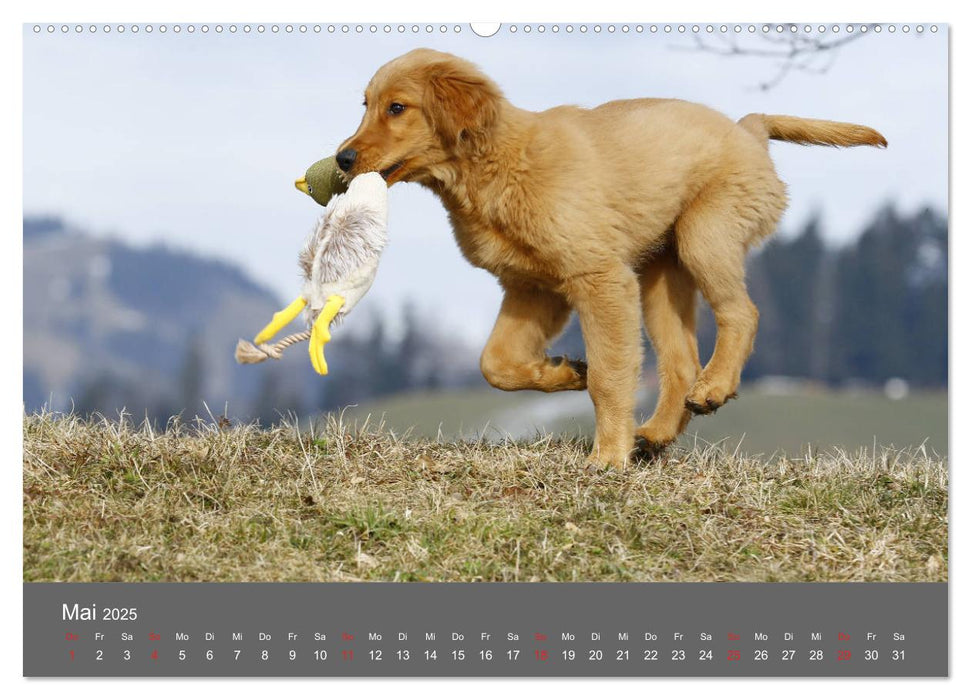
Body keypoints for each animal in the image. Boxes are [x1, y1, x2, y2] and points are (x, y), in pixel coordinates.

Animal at [336, 47, 888, 464]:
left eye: (397, 108)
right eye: (364, 104)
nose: (342, 158)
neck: (493, 169)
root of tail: (748, 127)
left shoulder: (598, 277)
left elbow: (609, 374)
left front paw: (606, 457)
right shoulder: (532, 286)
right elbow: (495, 362)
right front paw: (563, 372)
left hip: (704, 233)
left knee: (742, 313)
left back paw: (713, 388)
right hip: (661, 275)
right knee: (681, 361)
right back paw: (660, 432)